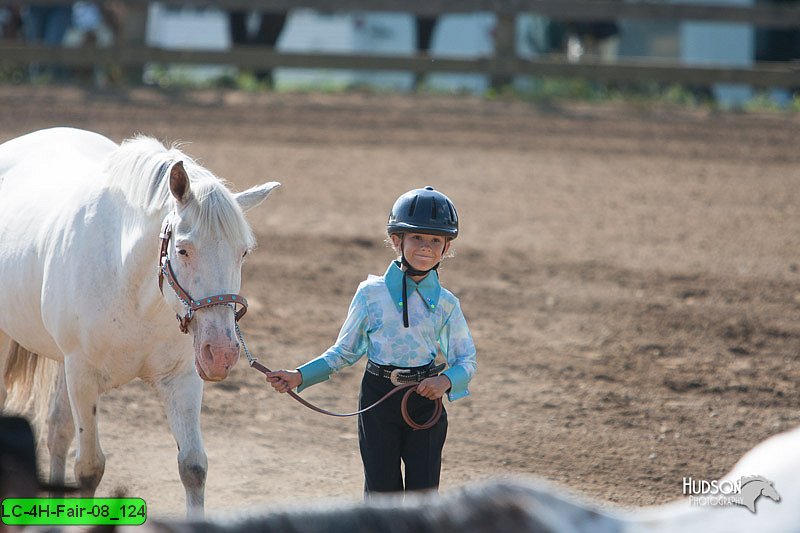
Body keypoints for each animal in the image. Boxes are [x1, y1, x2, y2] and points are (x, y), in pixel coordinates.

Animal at [0, 128, 282, 516]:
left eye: (243, 252)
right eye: (183, 250)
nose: (222, 353)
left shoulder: (182, 377)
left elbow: (193, 466)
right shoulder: (82, 375)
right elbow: (89, 468)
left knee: (57, 431)